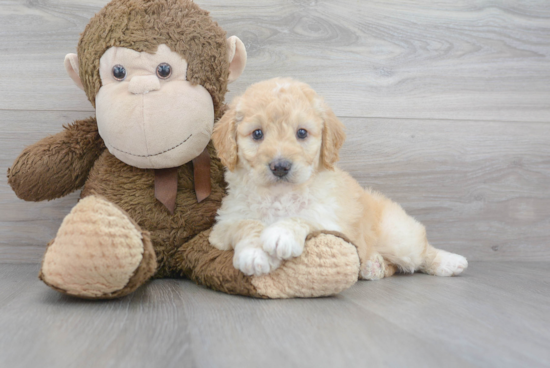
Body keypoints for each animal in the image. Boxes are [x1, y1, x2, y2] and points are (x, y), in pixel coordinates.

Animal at [209, 78, 468, 278]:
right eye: (257, 134)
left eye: (301, 133)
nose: (280, 166)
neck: (280, 195)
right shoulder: (222, 226)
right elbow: (246, 223)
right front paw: (254, 252)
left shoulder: (331, 219)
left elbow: (305, 217)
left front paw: (282, 232)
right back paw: (374, 265)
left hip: (399, 237)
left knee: (420, 251)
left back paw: (450, 262)